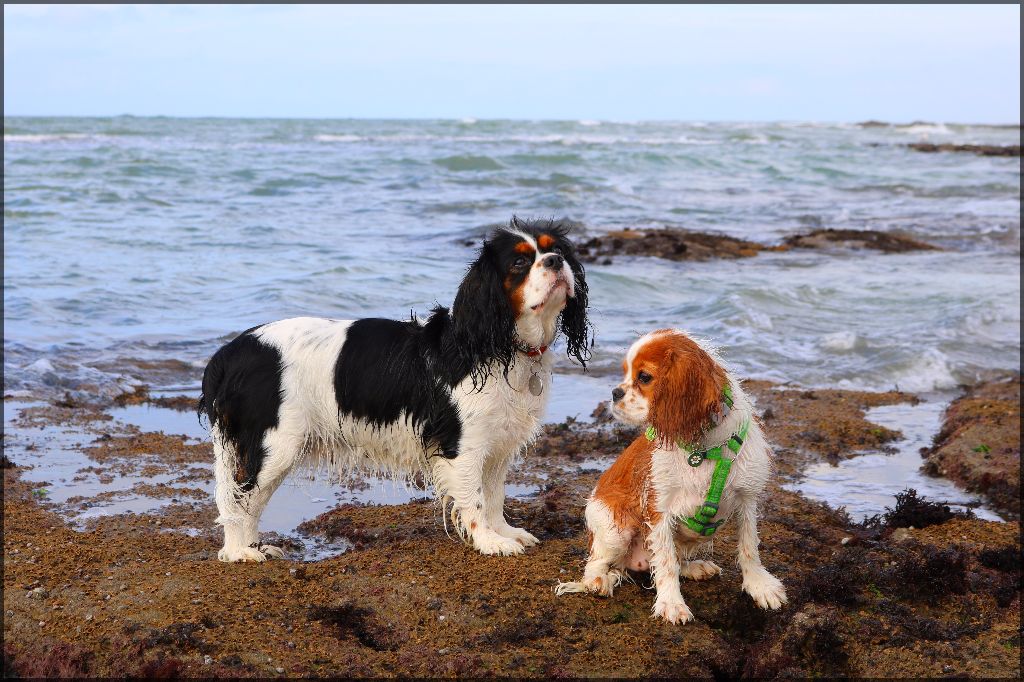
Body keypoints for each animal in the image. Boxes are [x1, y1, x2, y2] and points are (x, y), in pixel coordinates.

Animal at [197, 216, 593, 557]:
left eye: (554, 249)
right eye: (519, 263)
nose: (556, 261)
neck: (497, 345)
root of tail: (230, 352)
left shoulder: (497, 446)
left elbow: (494, 495)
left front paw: (505, 531)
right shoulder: (462, 445)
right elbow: (475, 499)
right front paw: (490, 542)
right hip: (273, 445)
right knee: (240, 500)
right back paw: (240, 552)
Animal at [561, 327, 782, 622]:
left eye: (644, 377)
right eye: (624, 373)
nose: (615, 392)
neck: (703, 448)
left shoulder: (747, 498)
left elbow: (749, 548)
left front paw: (759, 585)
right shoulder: (659, 509)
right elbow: (665, 564)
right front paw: (671, 603)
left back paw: (695, 567)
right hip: (615, 529)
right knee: (596, 563)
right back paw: (598, 582)